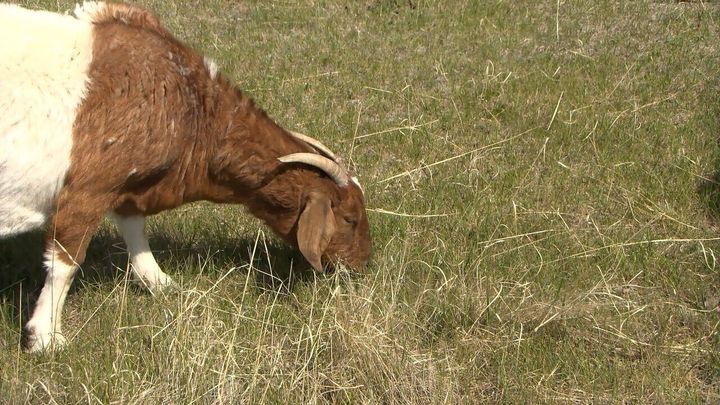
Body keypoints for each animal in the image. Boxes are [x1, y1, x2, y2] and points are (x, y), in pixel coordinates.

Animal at [0, 2, 372, 352]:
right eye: (350, 219)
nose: (363, 265)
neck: (190, 106)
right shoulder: (89, 189)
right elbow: (66, 262)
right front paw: (45, 337)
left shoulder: (129, 186)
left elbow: (134, 230)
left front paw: (161, 283)